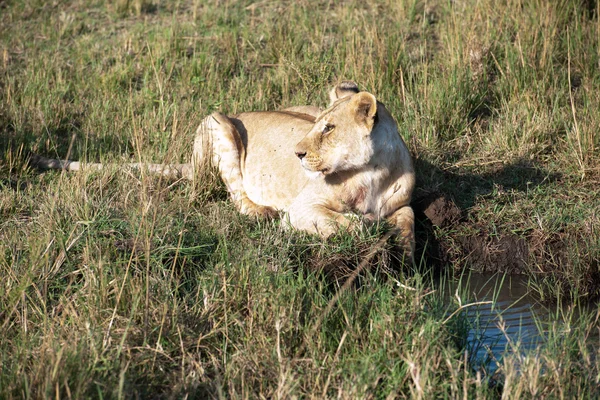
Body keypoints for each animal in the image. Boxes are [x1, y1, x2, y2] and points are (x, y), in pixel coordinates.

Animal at [30, 80, 414, 260]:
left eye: (329, 128)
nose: (298, 153)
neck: (373, 172)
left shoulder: (403, 204)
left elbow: (408, 221)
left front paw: (408, 252)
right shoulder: (302, 209)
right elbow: (346, 223)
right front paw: (369, 228)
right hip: (217, 123)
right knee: (235, 193)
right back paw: (261, 212)